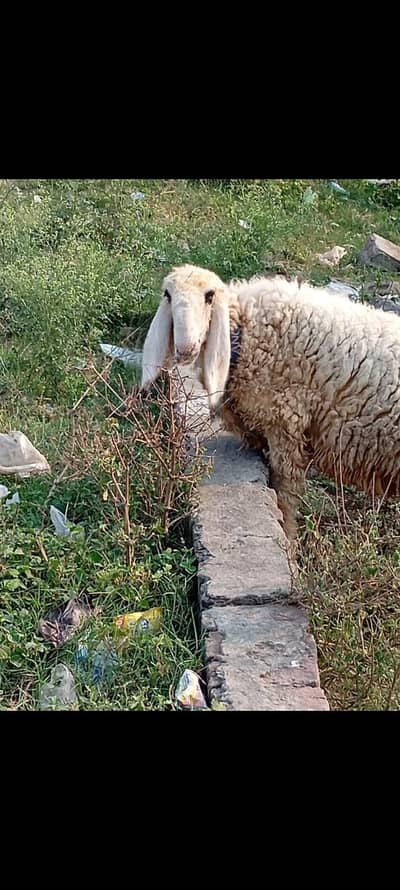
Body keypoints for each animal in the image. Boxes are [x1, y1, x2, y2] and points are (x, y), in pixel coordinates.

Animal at [141, 263, 400, 541]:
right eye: (168, 295)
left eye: (210, 296)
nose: (185, 348)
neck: (245, 333)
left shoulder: (285, 421)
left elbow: (284, 488)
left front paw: (287, 536)